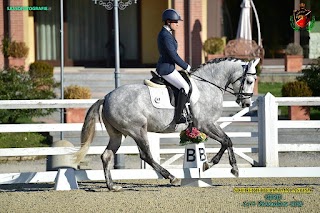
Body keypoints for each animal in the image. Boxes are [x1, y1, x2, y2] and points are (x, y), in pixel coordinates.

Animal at [74, 57, 260, 191]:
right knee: (146, 155)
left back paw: (112, 186)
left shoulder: (209, 125)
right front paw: (223, 167)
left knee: (106, 155)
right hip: (137, 130)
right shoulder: (206, 124)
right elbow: (227, 140)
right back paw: (172, 177)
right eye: (250, 81)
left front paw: (215, 165)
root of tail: (106, 97)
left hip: (118, 134)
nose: (247, 103)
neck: (207, 85)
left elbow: (227, 141)